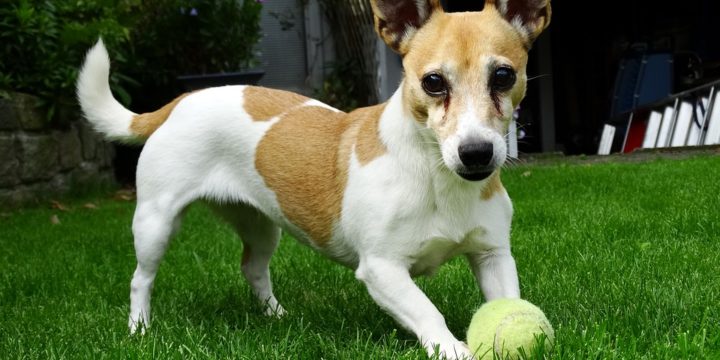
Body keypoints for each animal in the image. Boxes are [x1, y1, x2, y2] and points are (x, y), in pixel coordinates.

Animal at [76, 1, 552, 358]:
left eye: (504, 76)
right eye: (433, 82)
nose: (477, 152)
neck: (438, 176)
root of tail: (183, 100)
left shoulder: (493, 256)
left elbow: (510, 301)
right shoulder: (381, 270)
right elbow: (427, 312)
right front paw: (453, 348)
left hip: (260, 224)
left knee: (253, 268)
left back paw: (276, 316)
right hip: (155, 222)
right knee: (141, 279)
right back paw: (139, 329)